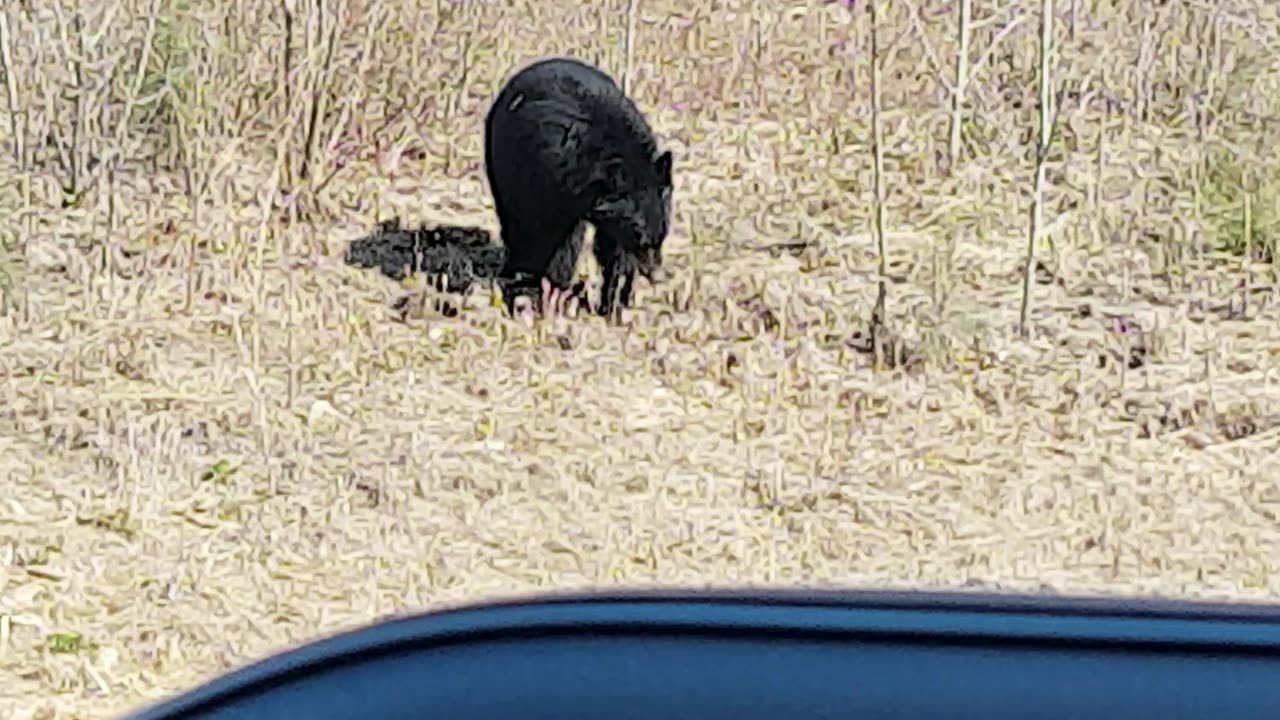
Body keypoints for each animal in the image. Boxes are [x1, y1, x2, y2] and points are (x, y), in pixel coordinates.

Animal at [481, 56, 680, 313]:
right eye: (639, 233)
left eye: (664, 231)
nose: (657, 275)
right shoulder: (552, 182)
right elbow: (555, 238)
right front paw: (549, 289)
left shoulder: (609, 217)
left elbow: (613, 251)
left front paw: (614, 300)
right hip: (502, 162)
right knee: (515, 219)